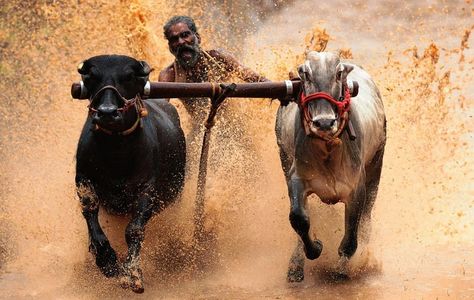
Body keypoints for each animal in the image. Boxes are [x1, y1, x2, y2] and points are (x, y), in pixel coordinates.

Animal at [276, 50, 386, 282]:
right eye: (305, 73)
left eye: (338, 74)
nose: (324, 123)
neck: (328, 148)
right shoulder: (296, 178)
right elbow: (299, 218)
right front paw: (314, 249)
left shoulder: (356, 188)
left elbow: (351, 237)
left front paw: (342, 269)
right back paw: (295, 266)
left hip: (376, 165)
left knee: (367, 220)